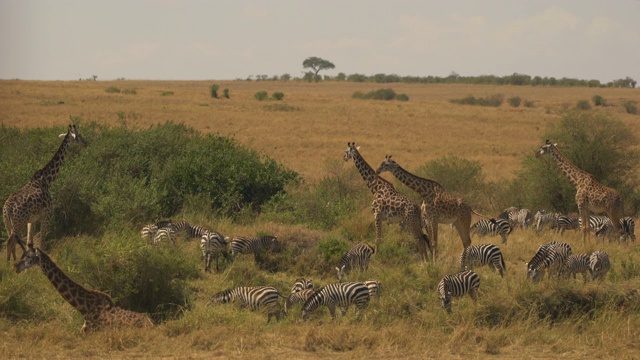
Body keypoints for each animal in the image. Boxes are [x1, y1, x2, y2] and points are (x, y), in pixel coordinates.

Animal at [2, 124, 86, 262]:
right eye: (78, 136)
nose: (85, 143)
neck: (47, 179)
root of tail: (7, 209)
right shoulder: (46, 215)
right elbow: (41, 243)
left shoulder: (32, 219)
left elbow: (30, 242)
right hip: (18, 223)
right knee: (11, 242)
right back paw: (11, 264)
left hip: (7, 223)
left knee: (10, 242)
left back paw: (11, 262)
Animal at [13, 240, 154, 334]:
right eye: (23, 254)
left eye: (29, 256)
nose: (15, 266)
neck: (84, 308)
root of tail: (151, 323)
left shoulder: (89, 332)